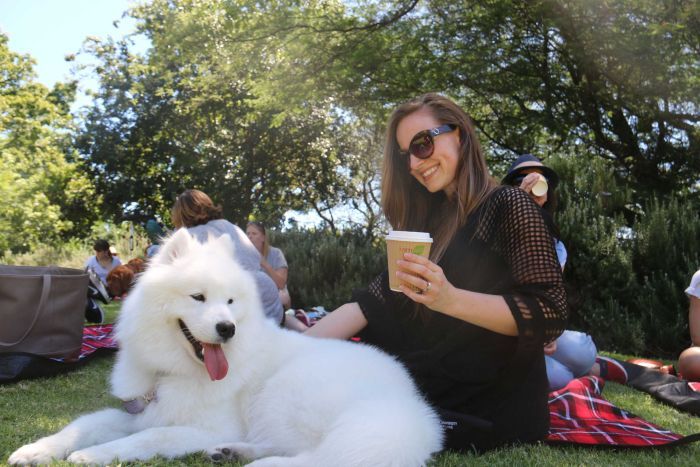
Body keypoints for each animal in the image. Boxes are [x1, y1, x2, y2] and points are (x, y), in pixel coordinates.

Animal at [8, 230, 440, 467]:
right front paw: (36, 450)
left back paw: (260, 465)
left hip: (288, 395)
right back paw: (234, 453)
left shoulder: (201, 426)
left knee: (318, 457)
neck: (173, 371)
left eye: (231, 302)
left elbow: (149, 439)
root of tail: (409, 403)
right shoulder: (140, 411)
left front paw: (93, 456)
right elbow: (83, 425)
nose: (227, 329)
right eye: (198, 297)